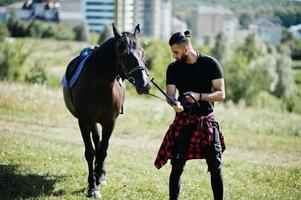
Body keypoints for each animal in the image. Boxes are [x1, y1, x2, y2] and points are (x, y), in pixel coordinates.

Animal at [62, 23, 150, 198]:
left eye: (142, 52)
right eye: (124, 55)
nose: (145, 85)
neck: (100, 87)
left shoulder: (110, 122)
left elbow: (103, 150)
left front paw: (99, 177)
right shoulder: (84, 121)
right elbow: (90, 152)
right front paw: (92, 187)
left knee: (101, 144)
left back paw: (100, 173)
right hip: (92, 122)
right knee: (96, 141)